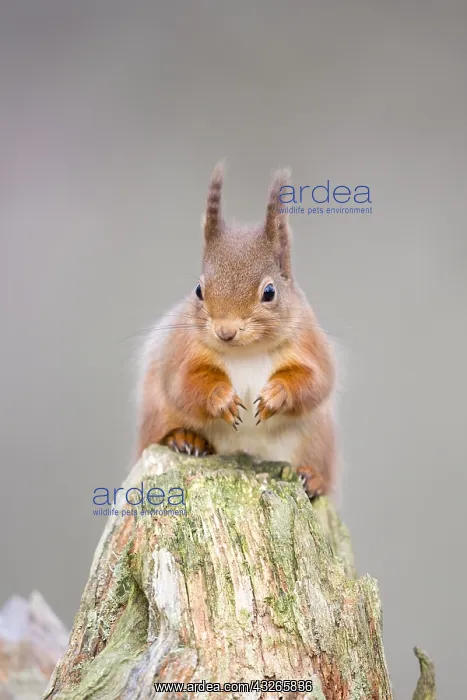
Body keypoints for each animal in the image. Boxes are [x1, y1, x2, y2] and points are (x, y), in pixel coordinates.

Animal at [135, 164, 338, 498]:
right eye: (199, 290)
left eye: (269, 292)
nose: (225, 331)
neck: (246, 352)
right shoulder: (183, 350)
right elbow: (185, 384)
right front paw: (222, 399)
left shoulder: (310, 345)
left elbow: (315, 381)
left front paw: (275, 395)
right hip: (156, 418)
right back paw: (186, 439)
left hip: (317, 440)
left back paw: (312, 479)